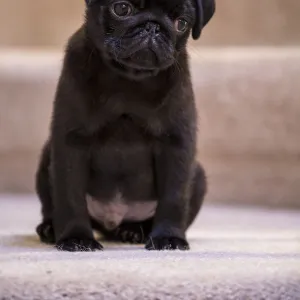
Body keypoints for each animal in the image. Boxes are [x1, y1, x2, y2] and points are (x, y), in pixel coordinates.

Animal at [35, 0, 213, 251]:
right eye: (121, 9)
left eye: (182, 24)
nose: (153, 27)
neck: (129, 79)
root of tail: (112, 222)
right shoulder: (72, 142)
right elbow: (70, 196)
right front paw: (76, 238)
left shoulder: (176, 144)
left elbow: (174, 197)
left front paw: (168, 238)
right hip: (46, 157)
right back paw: (50, 228)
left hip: (198, 177)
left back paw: (134, 231)